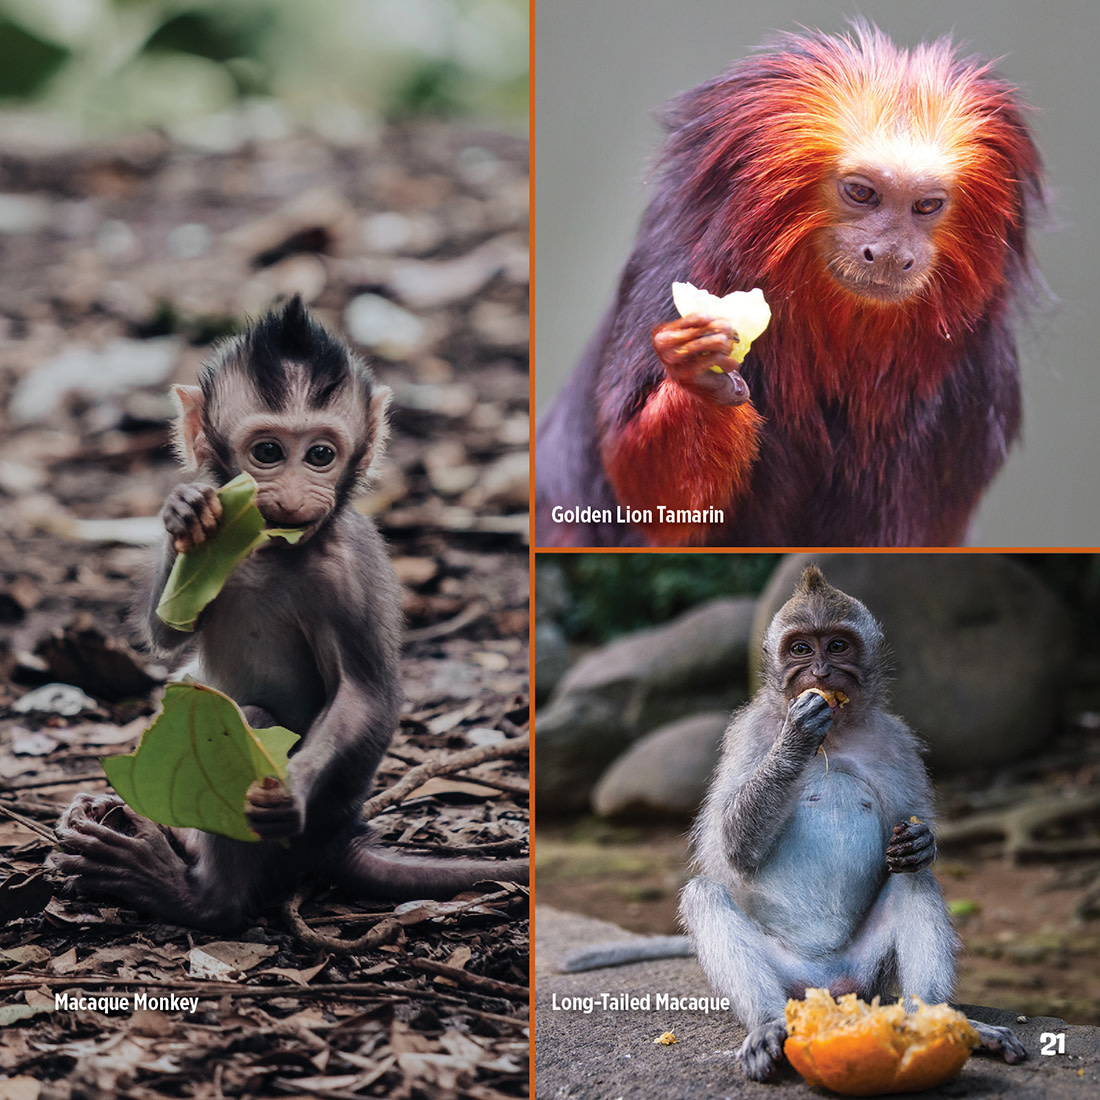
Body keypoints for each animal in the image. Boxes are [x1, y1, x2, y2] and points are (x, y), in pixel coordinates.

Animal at [50, 296, 527, 931]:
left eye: (321, 455)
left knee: (240, 719)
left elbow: (364, 693)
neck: (271, 548)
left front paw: (290, 791)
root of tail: (337, 838)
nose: (298, 495)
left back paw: (191, 893)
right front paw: (184, 513)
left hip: (292, 837)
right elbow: (167, 633)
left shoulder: (351, 570)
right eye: (269, 452)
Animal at [535, 23, 1043, 547]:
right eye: (861, 193)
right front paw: (700, 379)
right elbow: (651, 500)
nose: (890, 254)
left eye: (926, 205)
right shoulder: (673, 272)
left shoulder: (976, 381)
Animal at [558, 568, 1025, 1080]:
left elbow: (908, 835)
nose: (820, 674)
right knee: (706, 895)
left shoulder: (896, 741)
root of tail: (830, 984)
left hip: (870, 975)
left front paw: (922, 841)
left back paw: (940, 1018)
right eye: (801, 649)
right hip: (785, 976)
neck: (835, 734)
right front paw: (798, 736)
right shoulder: (749, 733)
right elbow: (732, 848)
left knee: (913, 880)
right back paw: (767, 1025)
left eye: (837, 646)